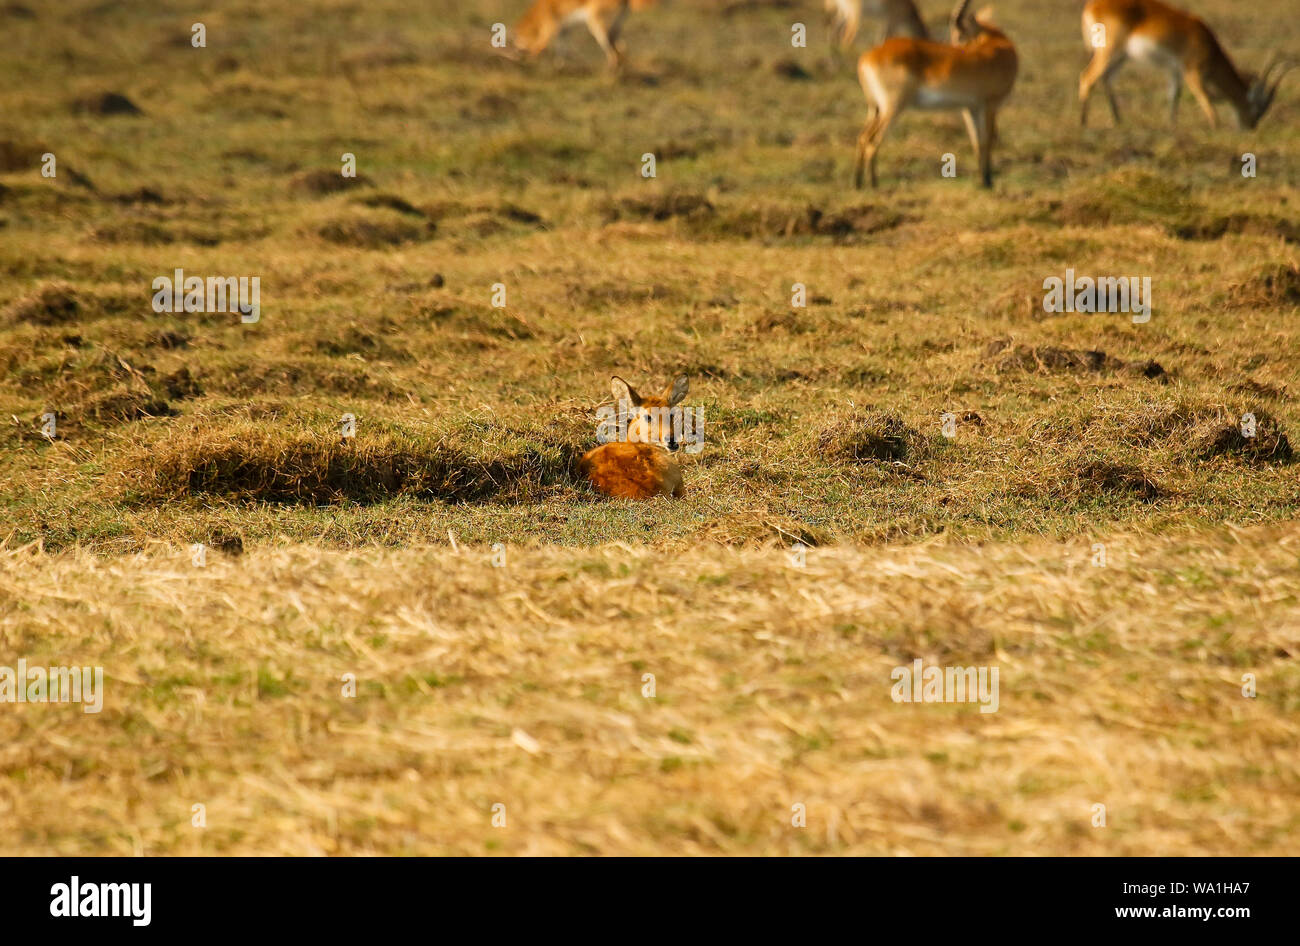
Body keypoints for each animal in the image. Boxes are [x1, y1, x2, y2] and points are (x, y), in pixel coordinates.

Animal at [857, 0, 1019, 188]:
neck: (998, 46)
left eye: (959, 35)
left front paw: (983, 181)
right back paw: (874, 183)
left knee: (863, 137)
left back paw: (858, 183)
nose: (956, 47)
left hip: (875, 108)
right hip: (893, 108)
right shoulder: (990, 105)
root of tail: (867, 57)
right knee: (872, 140)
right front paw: (988, 182)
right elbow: (988, 140)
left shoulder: (971, 108)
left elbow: (977, 141)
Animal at [1081, 0, 1294, 128]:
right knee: (1087, 78)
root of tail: (1092, 6)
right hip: (1110, 52)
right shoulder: (1193, 73)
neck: (1209, 47)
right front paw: (1215, 129)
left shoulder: (1175, 71)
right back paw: (1084, 124)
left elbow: (1173, 98)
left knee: (1106, 79)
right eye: (1257, 110)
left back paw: (1118, 121)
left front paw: (1172, 127)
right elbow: (1207, 102)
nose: (1250, 127)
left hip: (1120, 57)